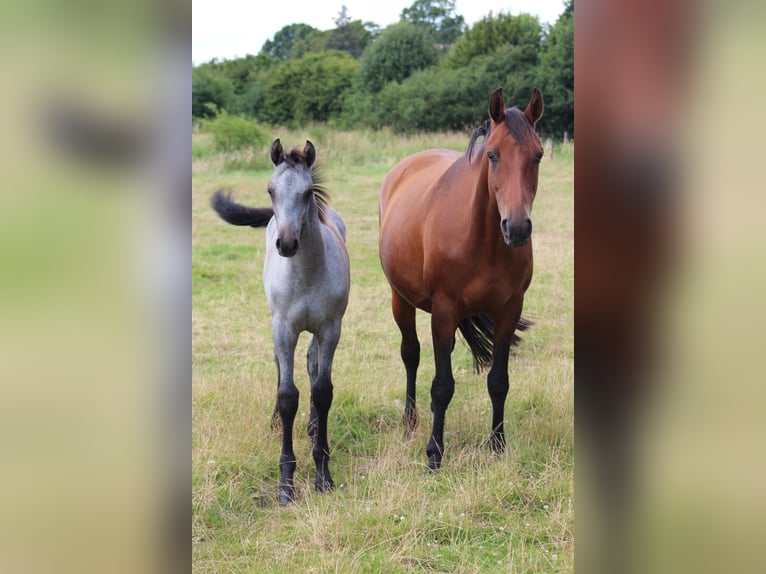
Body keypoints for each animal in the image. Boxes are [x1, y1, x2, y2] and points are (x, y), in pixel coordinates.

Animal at [212, 142, 352, 506]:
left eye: (306, 193)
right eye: (270, 190)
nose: (287, 244)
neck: (305, 274)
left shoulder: (330, 328)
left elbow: (322, 390)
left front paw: (322, 473)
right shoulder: (284, 329)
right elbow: (288, 394)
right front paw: (286, 483)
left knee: (313, 364)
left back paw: (314, 425)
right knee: (280, 365)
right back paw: (276, 422)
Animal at [380, 88, 544, 470]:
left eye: (539, 155)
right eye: (492, 154)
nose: (517, 228)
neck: (482, 239)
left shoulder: (509, 310)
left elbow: (498, 381)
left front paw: (497, 444)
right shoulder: (443, 310)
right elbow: (442, 385)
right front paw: (434, 453)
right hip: (401, 300)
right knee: (410, 354)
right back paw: (410, 423)